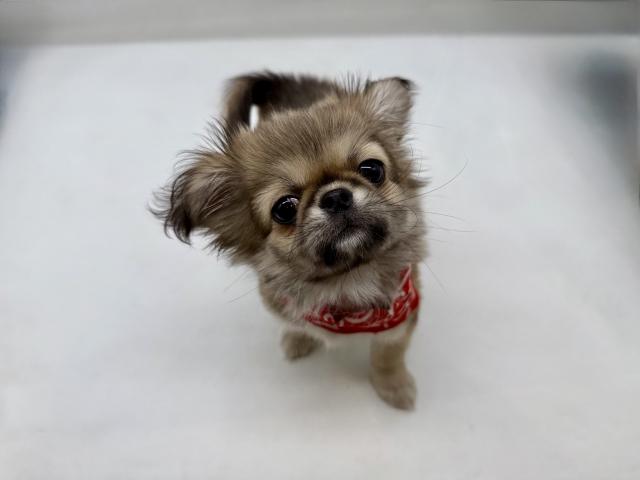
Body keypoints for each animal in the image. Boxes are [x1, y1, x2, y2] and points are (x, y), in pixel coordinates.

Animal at [152, 72, 426, 409]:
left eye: (372, 169)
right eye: (284, 208)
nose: (336, 196)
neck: (345, 284)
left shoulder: (401, 320)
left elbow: (388, 356)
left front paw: (394, 387)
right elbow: (296, 323)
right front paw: (299, 339)